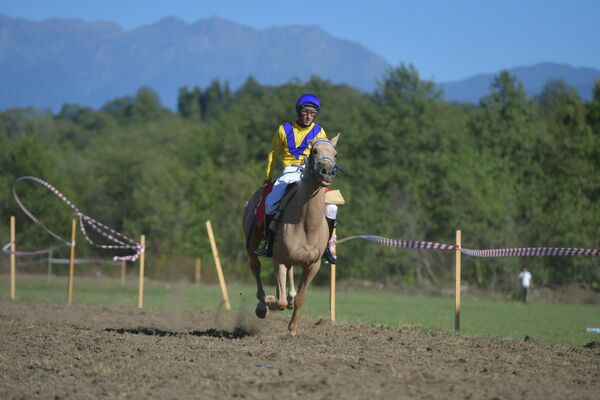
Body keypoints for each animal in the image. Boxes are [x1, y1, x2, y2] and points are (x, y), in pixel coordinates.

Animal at [243, 134, 338, 334]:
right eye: (314, 151)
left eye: (335, 153)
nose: (326, 172)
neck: (307, 226)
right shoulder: (280, 259)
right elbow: (279, 302)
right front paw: (269, 302)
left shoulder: (313, 266)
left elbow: (301, 298)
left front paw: (292, 328)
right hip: (252, 243)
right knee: (256, 266)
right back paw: (262, 304)